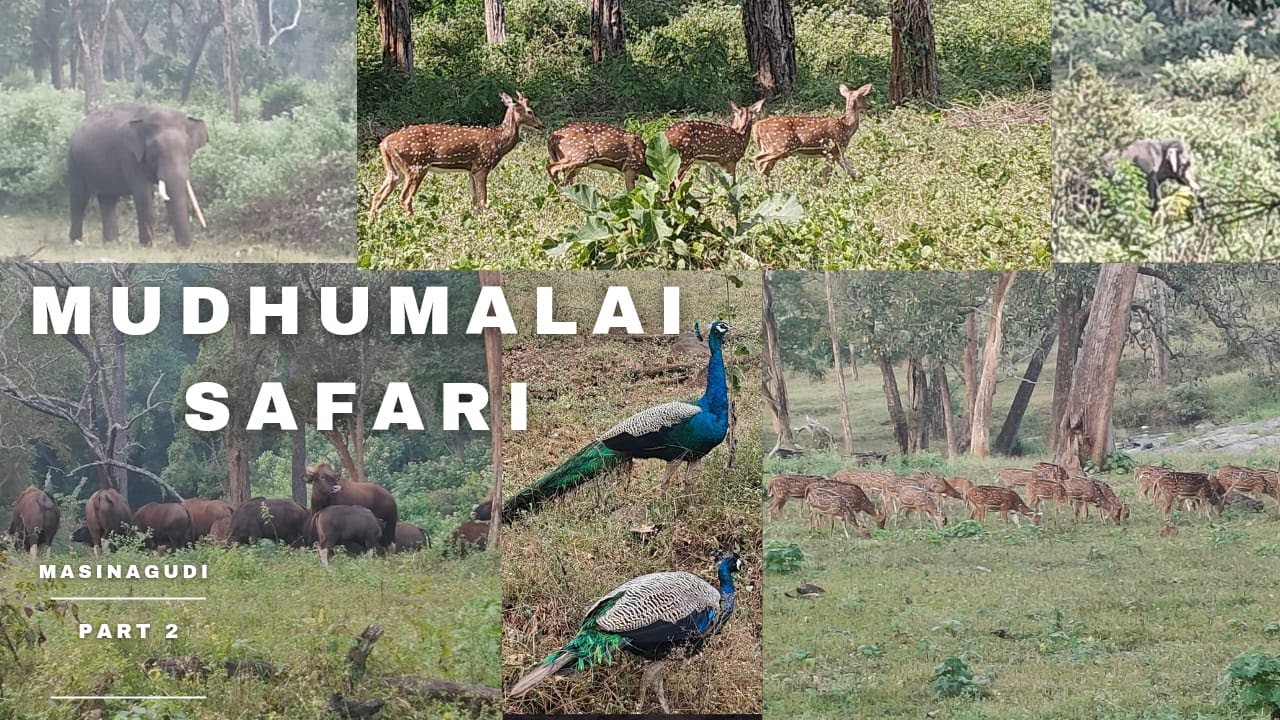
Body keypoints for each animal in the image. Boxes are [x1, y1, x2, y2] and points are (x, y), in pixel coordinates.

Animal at [67, 103, 209, 246]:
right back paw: (77, 242)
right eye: (155, 149)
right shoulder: (130, 155)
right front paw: (147, 245)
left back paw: (111, 242)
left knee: (107, 200)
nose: (184, 246)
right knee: (79, 198)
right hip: (74, 162)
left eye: (189, 149)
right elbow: (144, 193)